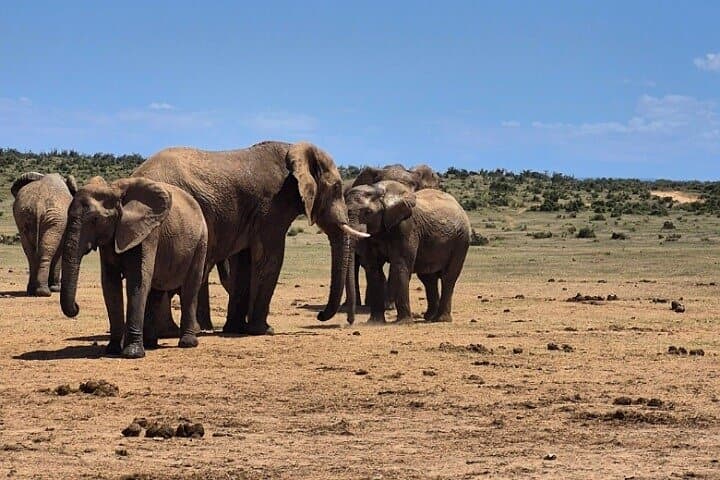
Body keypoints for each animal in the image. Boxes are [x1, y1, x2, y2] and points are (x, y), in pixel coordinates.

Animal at [60, 176, 208, 359]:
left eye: (95, 219)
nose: (77, 307)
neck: (114, 189)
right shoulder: (112, 238)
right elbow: (110, 283)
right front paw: (112, 350)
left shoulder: (147, 233)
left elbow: (137, 280)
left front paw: (132, 354)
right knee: (155, 291)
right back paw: (150, 344)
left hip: (201, 241)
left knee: (190, 288)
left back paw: (187, 343)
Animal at [131, 141, 368, 335]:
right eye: (336, 187)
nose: (320, 316)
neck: (294, 149)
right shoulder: (272, 206)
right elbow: (271, 257)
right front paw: (264, 330)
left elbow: (243, 261)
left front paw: (235, 329)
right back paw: (169, 332)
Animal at [340, 180, 470, 324]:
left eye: (368, 212)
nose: (350, 321)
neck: (379, 190)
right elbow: (374, 269)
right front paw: (374, 322)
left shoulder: (406, 226)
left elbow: (400, 266)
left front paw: (403, 322)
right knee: (428, 278)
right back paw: (430, 317)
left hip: (461, 240)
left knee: (448, 277)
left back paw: (441, 319)